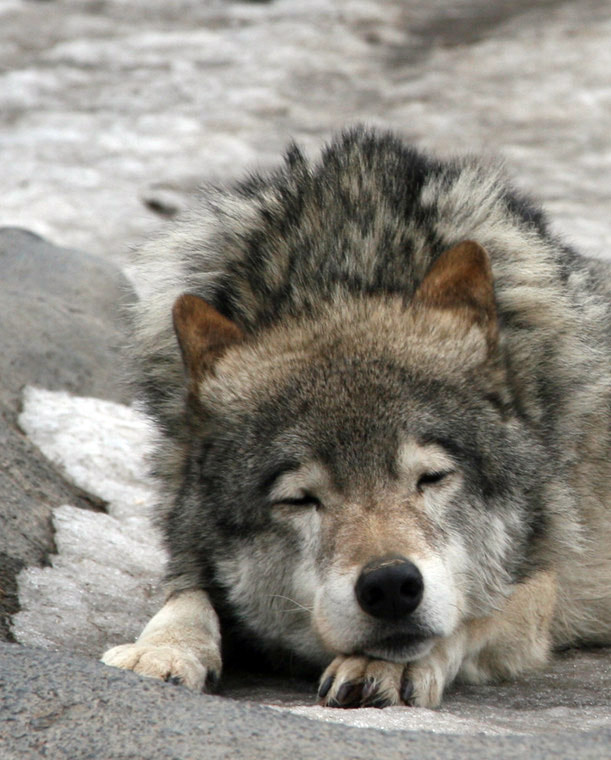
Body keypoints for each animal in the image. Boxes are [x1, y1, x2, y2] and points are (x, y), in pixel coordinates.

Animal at [102, 127, 611, 708]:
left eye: (432, 477)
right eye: (300, 499)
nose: (390, 585)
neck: (341, 271)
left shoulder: (540, 580)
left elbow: (468, 618)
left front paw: (385, 663)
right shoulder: (187, 541)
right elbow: (187, 596)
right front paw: (162, 650)